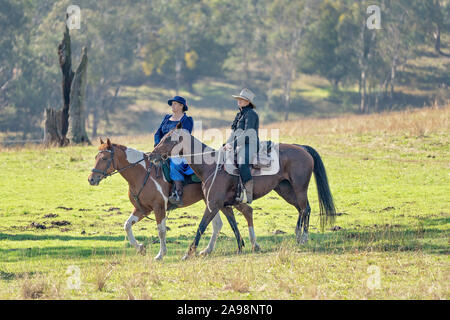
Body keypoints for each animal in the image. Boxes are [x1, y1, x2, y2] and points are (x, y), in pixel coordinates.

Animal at [88, 138, 258, 260]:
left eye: (104, 158)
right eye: (95, 156)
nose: (91, 179)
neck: (142, 173)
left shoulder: (158, 208)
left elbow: (161, 231)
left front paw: (160, 254)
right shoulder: (142, 210)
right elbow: (127, 225)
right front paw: (140, 248)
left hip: (222, 201)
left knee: (246, 211)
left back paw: (253, 245)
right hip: (213, 202)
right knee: (218, 224)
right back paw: (207, 250)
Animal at [149, 122, 336, 260]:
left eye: (168, 139)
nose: (152, 155)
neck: (211, 166)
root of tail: (302, 148)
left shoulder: (213, 204)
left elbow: (201, 226)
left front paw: (188, 253)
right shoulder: (224, 205)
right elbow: (233, 224)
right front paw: (241, 247)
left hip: (299, 188)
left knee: (306, 209)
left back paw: (303, 237)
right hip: (285, 190)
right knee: (300, 209)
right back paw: (297, 235)